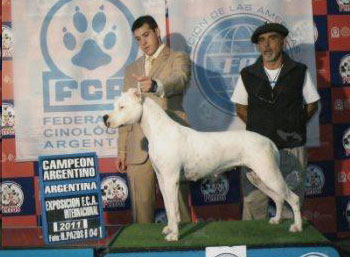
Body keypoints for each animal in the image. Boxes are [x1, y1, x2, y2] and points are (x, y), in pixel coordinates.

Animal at [102, 88, 302, 240]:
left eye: (122, 106)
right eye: (114, 105)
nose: (105, 118)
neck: (159, 131)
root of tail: (269, 141)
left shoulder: (171, 179)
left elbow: (173, 208)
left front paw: (174, 235)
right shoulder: (162, 179)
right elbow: (168, 207)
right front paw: (170, 228)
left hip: (269, 173)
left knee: (293, 198)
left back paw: (297, 227)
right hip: (256, 176)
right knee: (278, 198)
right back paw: (276, 220)